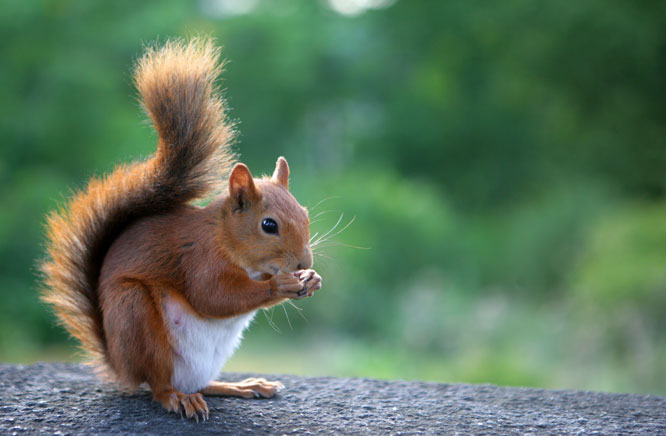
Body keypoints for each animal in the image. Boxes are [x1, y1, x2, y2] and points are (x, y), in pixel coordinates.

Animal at [39, 38, 322, 422]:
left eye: (305, 214)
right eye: (269, 225)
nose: (303, 262)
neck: (224, 238)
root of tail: (120, 365)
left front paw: (312, 279)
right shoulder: (198, 258)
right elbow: (213, 295)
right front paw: (281, 284)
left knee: (201, 383)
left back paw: (240, 386)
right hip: (137, 317)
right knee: (160, 385)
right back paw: (179, 399)